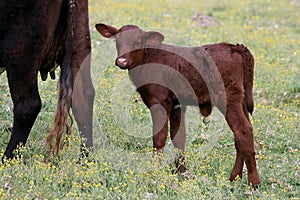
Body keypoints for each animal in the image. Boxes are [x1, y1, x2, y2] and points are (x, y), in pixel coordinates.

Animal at [0, 0, 94, 159]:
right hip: (80, 40)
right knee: (83, 98)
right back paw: (85, 160)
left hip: (21, 50)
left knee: (28, 105)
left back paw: (7, 157)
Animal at [96, 23, 260, 188]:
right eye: (117, 40)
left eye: (138, 42)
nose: (121, 61)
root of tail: (236, 47)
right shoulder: (177, 105)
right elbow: (178, 136)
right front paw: (180, 171)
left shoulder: (158, 101)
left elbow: (159, 138)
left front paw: (155, 171)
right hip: (241, 101)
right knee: (242, 133)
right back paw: (235, 178)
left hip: (228, 98)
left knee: (242, 130)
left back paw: (253, 182)